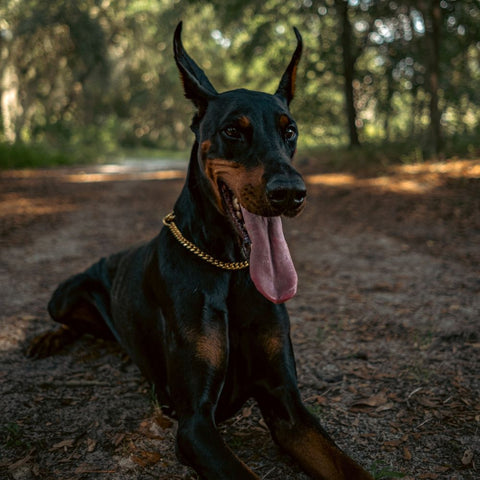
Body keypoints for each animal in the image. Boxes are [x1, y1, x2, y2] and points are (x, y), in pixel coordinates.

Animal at [29, 23, 376, 480]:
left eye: (290, 130)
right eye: (232, 131)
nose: (291, 193)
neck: (229, 266)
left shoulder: (289, 407)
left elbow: (347, 465)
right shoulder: (195, 422)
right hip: (64, 295)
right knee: (68, 320)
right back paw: (46, 338)